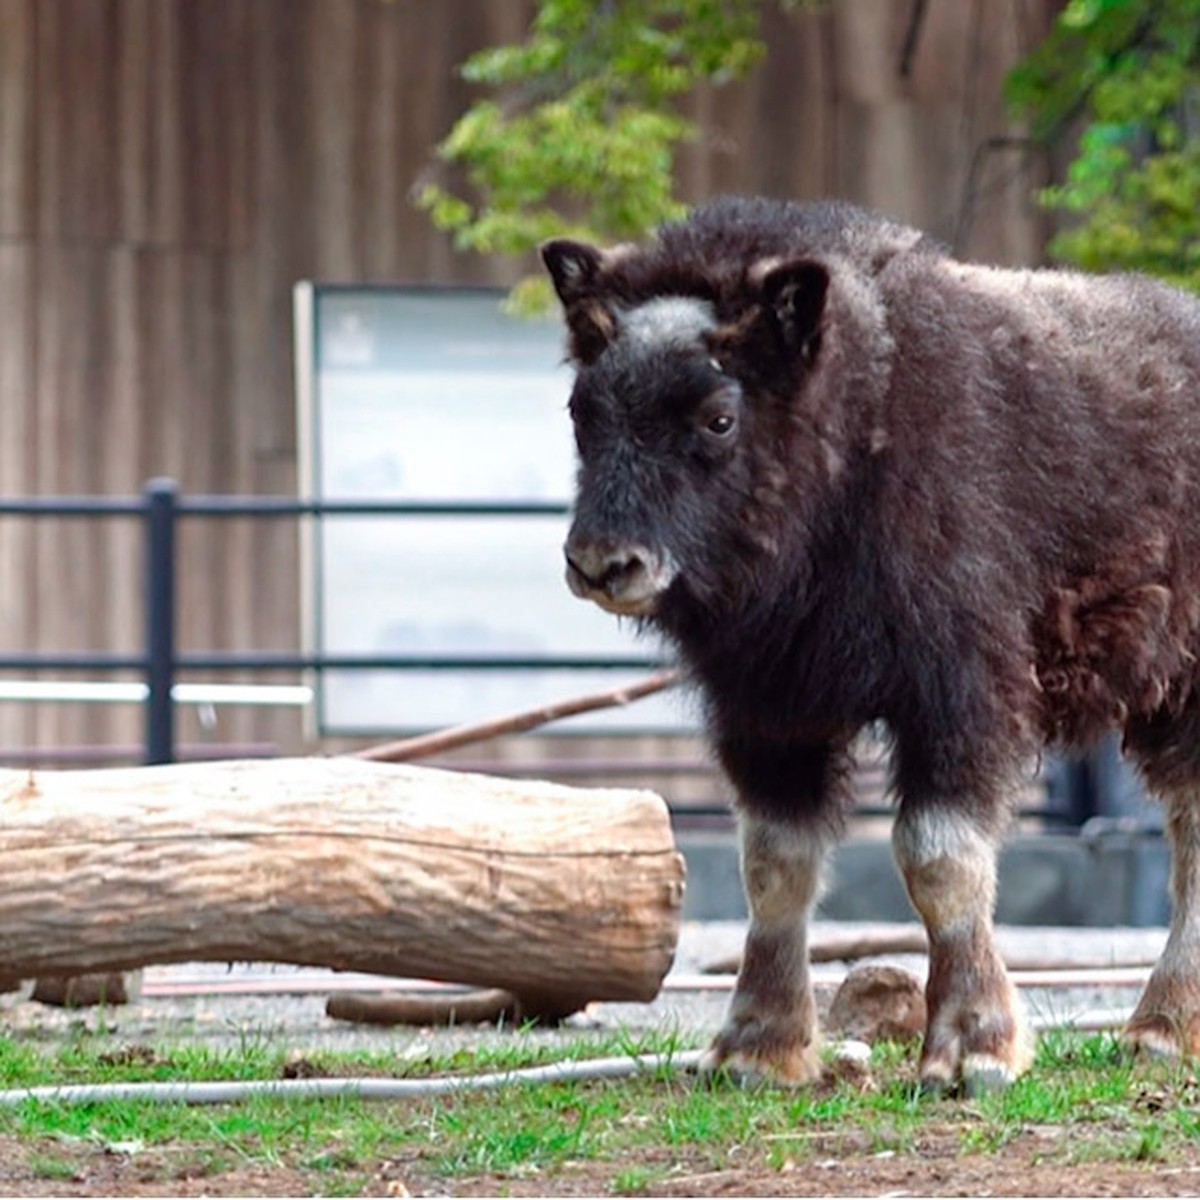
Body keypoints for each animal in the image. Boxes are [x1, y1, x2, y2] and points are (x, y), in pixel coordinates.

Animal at [544, 192, 1200, 1094]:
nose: (602, 562)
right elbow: (773, 865)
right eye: (583, 411)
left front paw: (971, 1051)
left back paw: (1160, 1028)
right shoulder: (769, 708)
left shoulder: (960, 693)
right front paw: (757, 1049)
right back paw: (1167, 1030)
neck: (858, 431)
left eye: (718, 417)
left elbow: (937, 858)